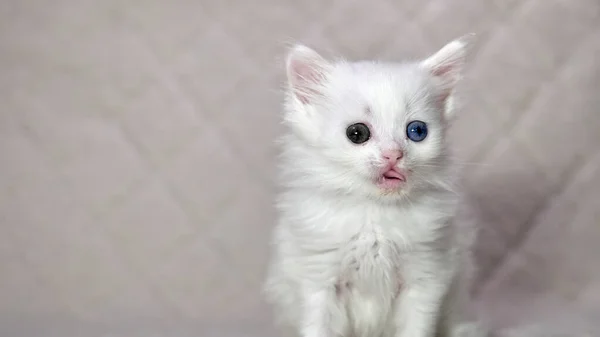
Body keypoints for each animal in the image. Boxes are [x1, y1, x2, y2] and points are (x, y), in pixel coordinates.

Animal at [262, 34, 482, 336]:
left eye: (417, 131)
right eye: (357, 133)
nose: (393, 154)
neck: (374, 213)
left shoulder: (426, 276)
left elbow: (416, 327)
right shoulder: (318, 279)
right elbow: (318, 326)